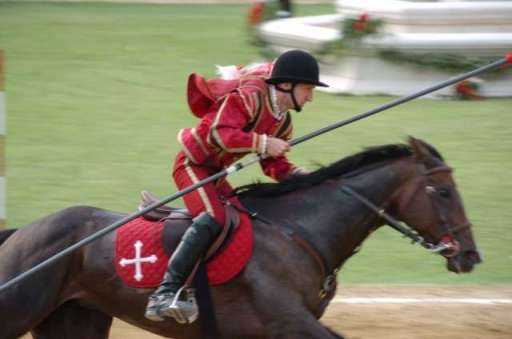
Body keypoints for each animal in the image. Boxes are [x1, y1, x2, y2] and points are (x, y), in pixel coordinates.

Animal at [0, 138, 480, 339]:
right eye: (443, 191)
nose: (471, 256)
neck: (299, 231)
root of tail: (22, 232)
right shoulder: (289, 323)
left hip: (74, 319)